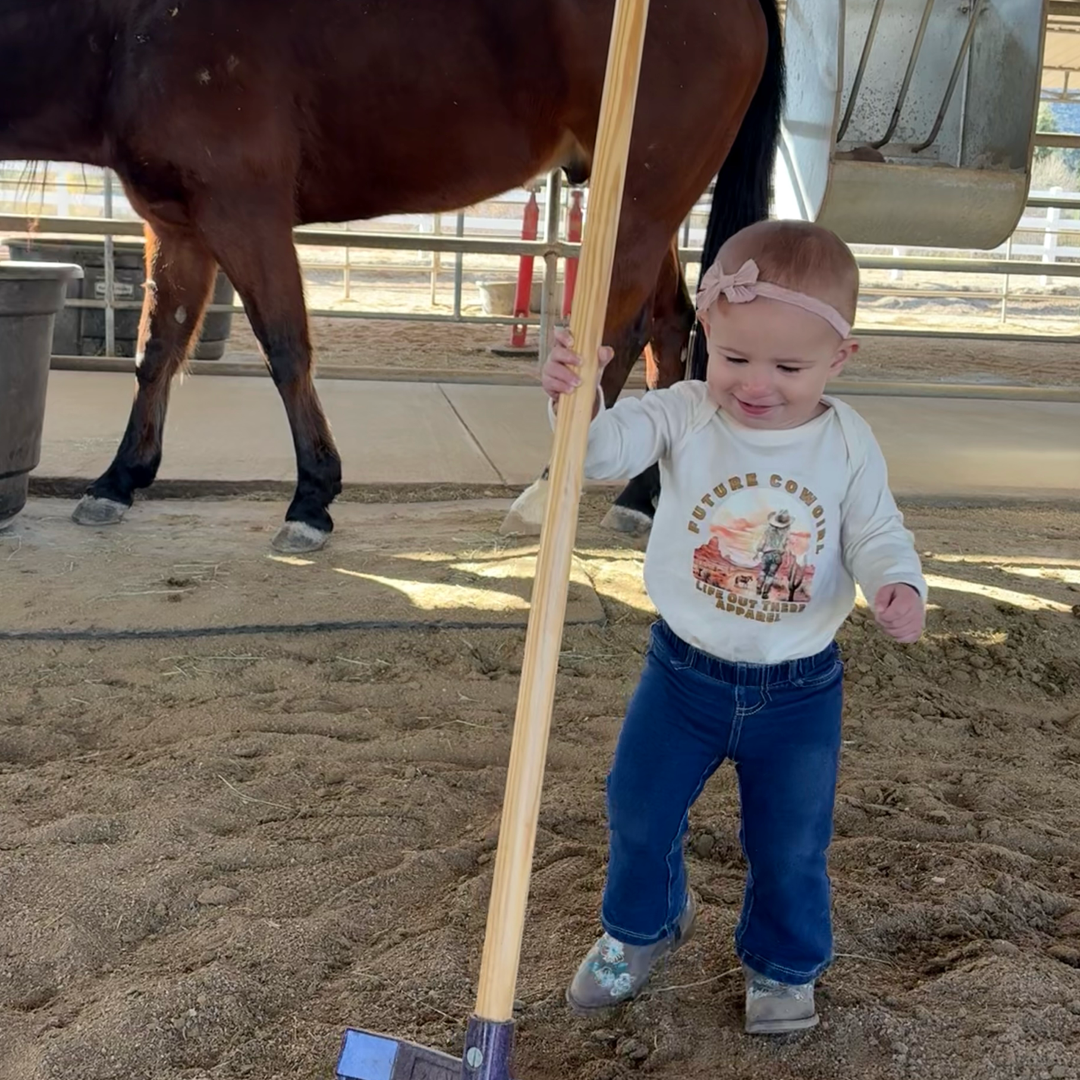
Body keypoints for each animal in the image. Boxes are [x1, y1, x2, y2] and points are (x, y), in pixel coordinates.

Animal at [0, 0, 777, 552]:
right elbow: (157, 351)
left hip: (639, 202)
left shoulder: (243, 212)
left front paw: (312, 499)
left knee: (622, 336)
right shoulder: (179, 227)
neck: (128, 26)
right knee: (671, 328)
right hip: (653, 211)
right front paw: (118, 481)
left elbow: (285, 349)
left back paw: (544, 495)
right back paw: (638, 500)